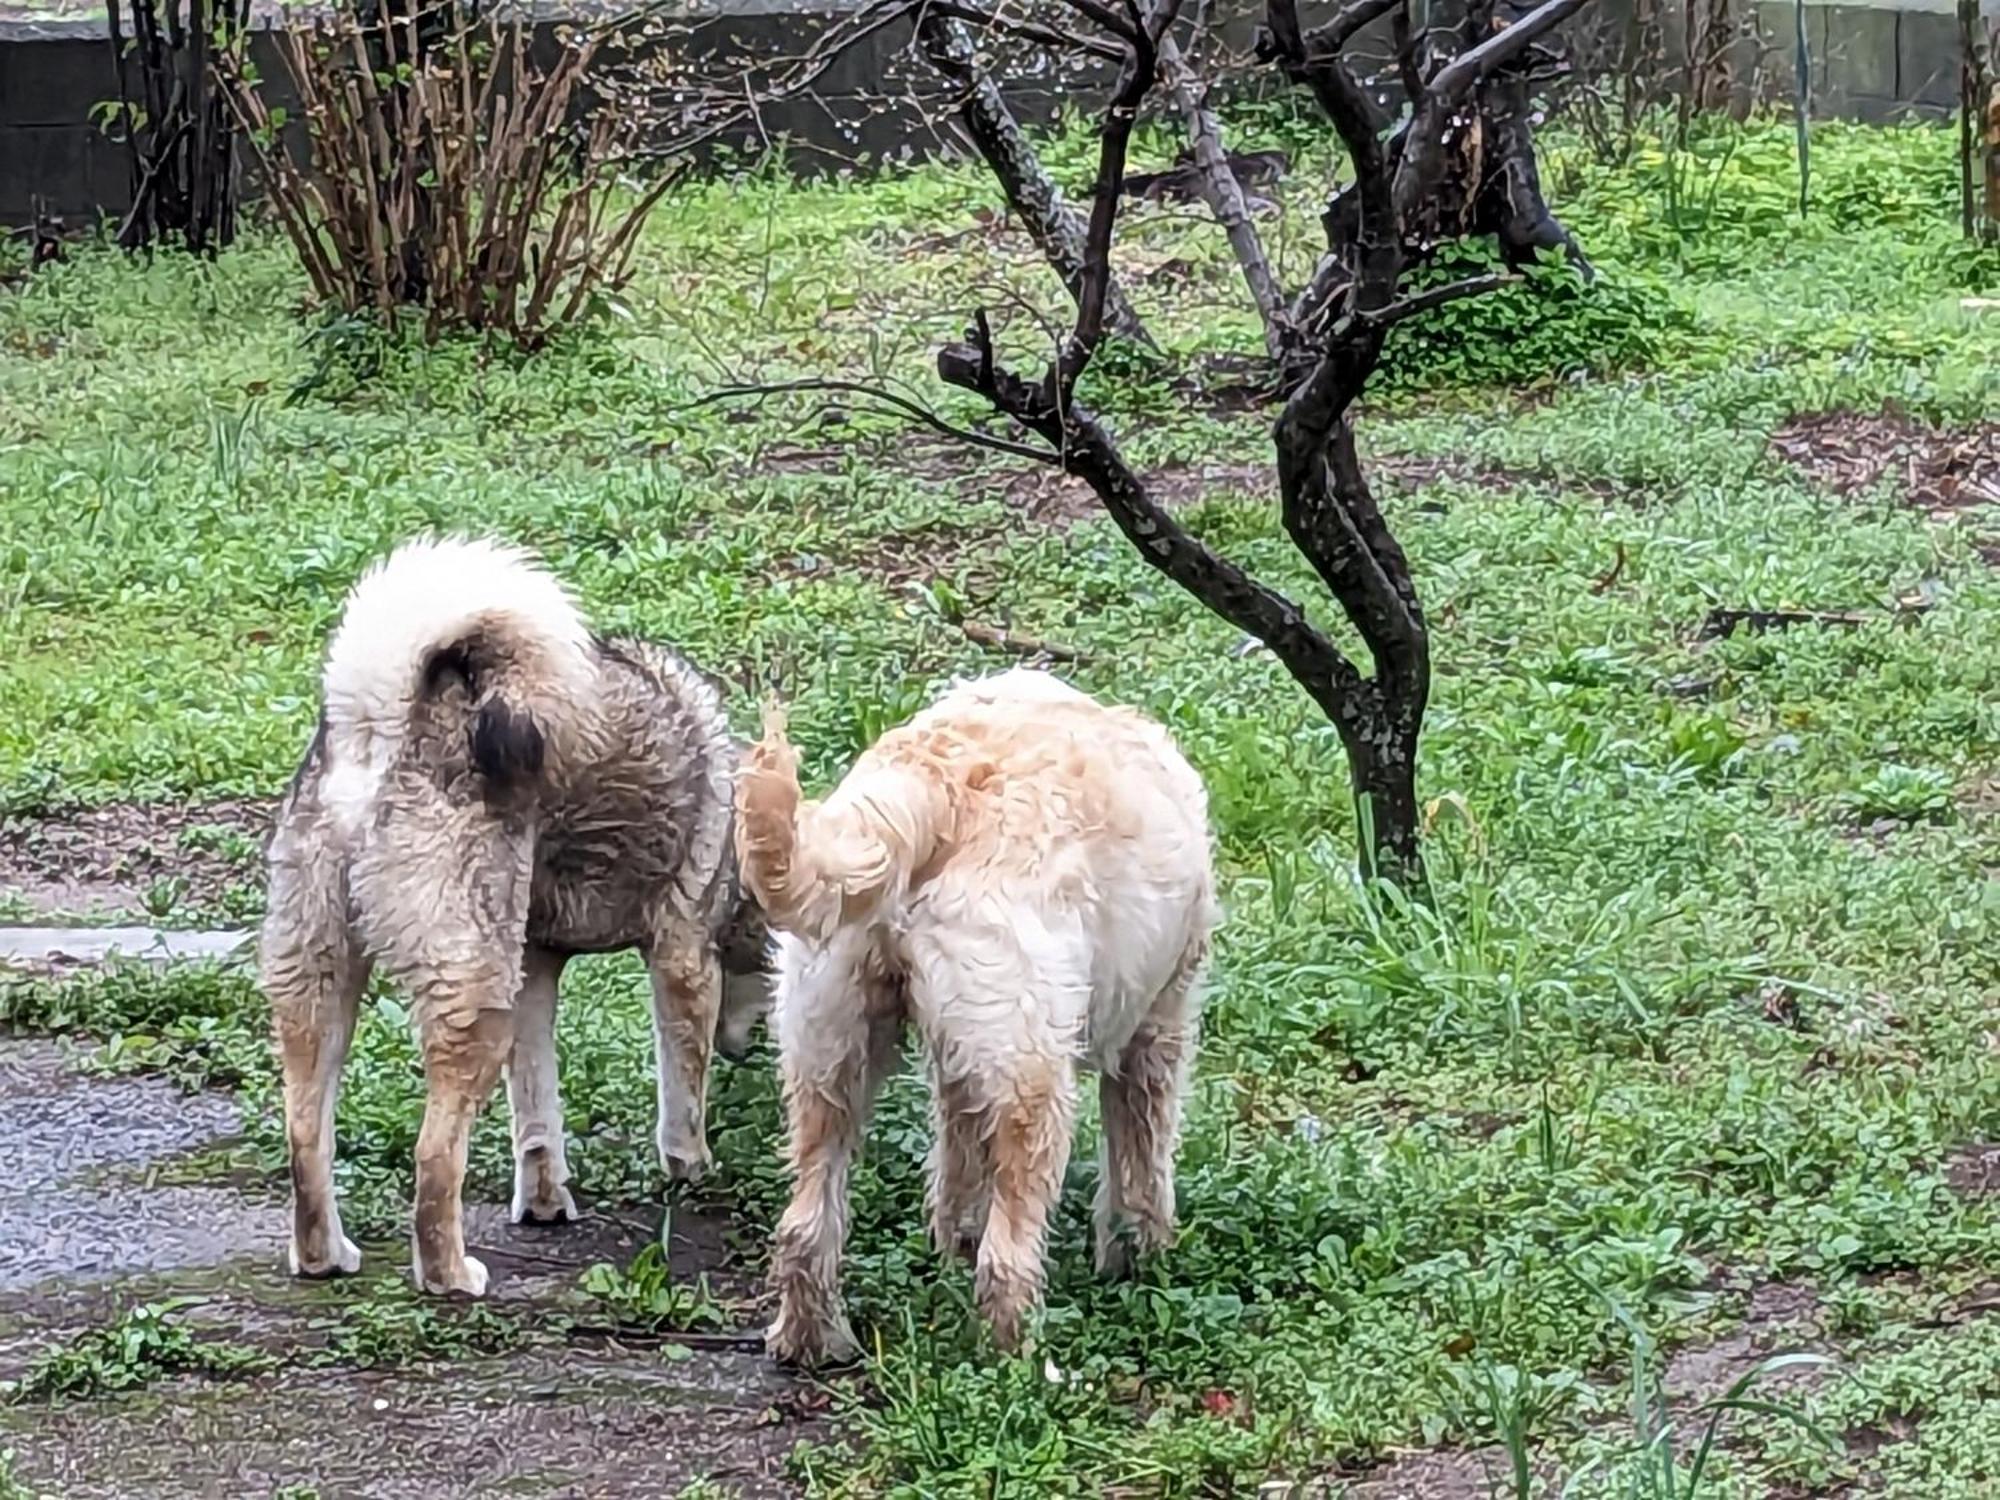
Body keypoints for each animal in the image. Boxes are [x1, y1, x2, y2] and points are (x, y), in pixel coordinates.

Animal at [260, 536, 772, 1296]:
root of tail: (381, 724)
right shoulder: (682, 960)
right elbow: (683, 1092)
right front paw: (692, 1168)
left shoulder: (533, 974)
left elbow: (536, 1120)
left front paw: (544, 1203)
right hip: (470, 1000)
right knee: (434, 1155)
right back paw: (448, 1273)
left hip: (320, 990)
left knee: (304, 1135)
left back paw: (325, 1255)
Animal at [728, 668, 1208, 1360]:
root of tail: (930, 787)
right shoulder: (1156, 1027)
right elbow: (1141, 1157)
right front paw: (1140, 1254)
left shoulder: (956, 1065)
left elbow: (959, 1161)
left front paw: (954, 1240)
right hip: (1034, 1084)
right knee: (1007, 1258)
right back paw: (1021, 1363)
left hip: (827, 1053)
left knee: (805, 1226)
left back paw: (813, 1339)